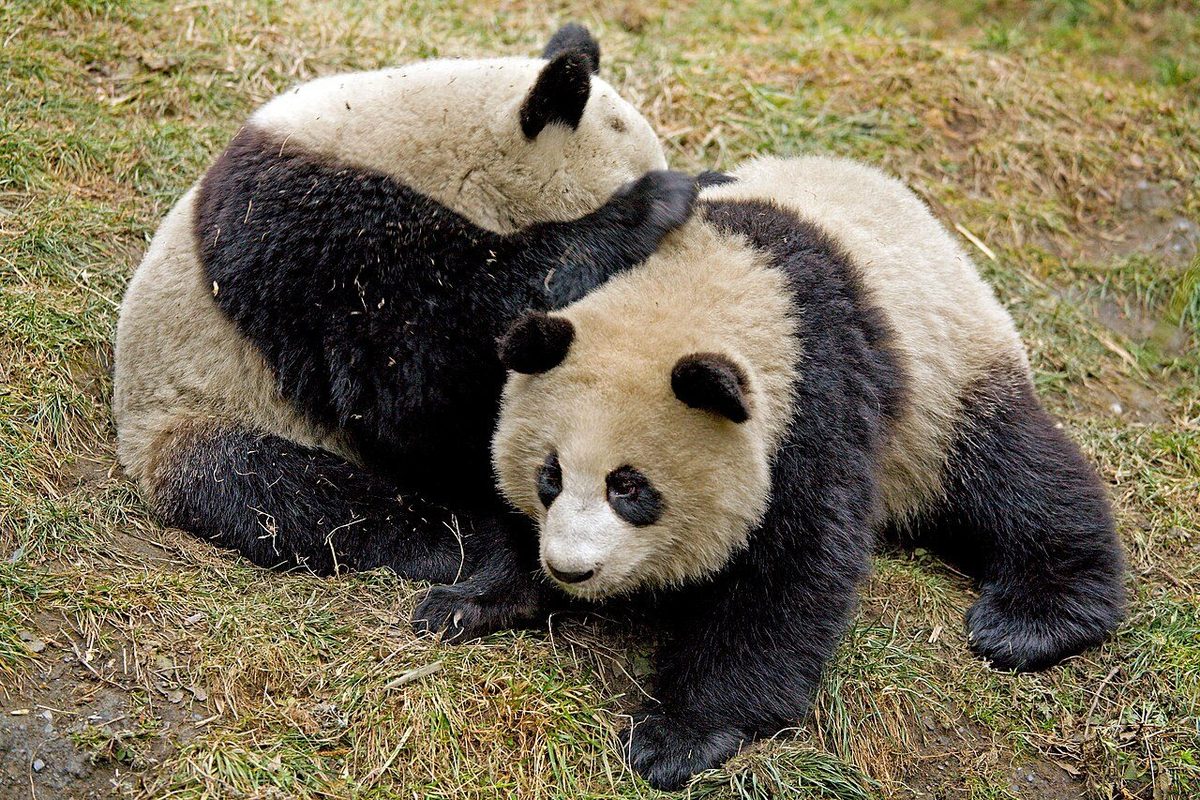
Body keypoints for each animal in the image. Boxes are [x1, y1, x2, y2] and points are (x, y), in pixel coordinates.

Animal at [112, 24, 698, 600]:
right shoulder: (320, 232)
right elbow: (409, 383)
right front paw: (651, 206)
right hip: (214, 412)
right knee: (302, 496)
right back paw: (485, 551)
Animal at [433, 155, 1127, 789]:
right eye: (548, 476)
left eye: (628, 487)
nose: (571, 570)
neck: (709, 282)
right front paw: (471, 601)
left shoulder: (816, 399)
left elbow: (791, 572)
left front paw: (678, 737)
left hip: (943, 384)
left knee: (1012, 473)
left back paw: (1032, 619)